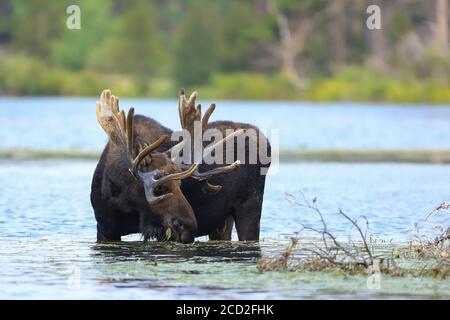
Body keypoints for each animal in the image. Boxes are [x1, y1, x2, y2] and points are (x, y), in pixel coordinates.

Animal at [89, 87, 268, 242]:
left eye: (181, 184)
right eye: (159, 188)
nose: (190, 228)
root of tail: (266, 140)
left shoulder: (163, 233)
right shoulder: (104, 230)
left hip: (250, 208)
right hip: (223, 222)